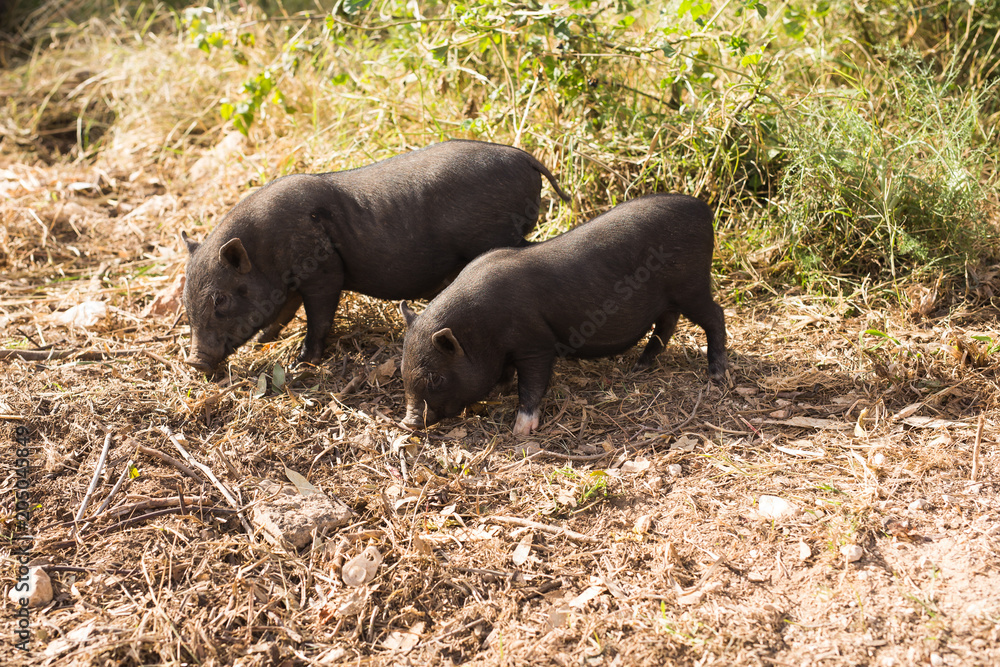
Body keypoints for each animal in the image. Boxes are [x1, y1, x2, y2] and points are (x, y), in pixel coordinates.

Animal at [181, 139, 570, 371]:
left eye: (221, 300)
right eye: (186, 304)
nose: (196, 363)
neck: (265, 249)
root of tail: (525, 157)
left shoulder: (323, 272)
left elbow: (318, 316)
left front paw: (301, 363)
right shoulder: (289, 285)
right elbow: (283, 311)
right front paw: (266, 340)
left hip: (501, 233)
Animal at [399, 193, 727, 435]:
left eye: (436, 378)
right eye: (403, 373)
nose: (408, 423)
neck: (480, 332)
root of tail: (703, 209)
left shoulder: (535, 343)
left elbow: (532, 383)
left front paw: (520, 431)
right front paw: (502, 388)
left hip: (692, 284)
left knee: (715, 315)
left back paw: (716, 374)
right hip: (671, 296)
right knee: (667, 322)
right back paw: (640, 366)